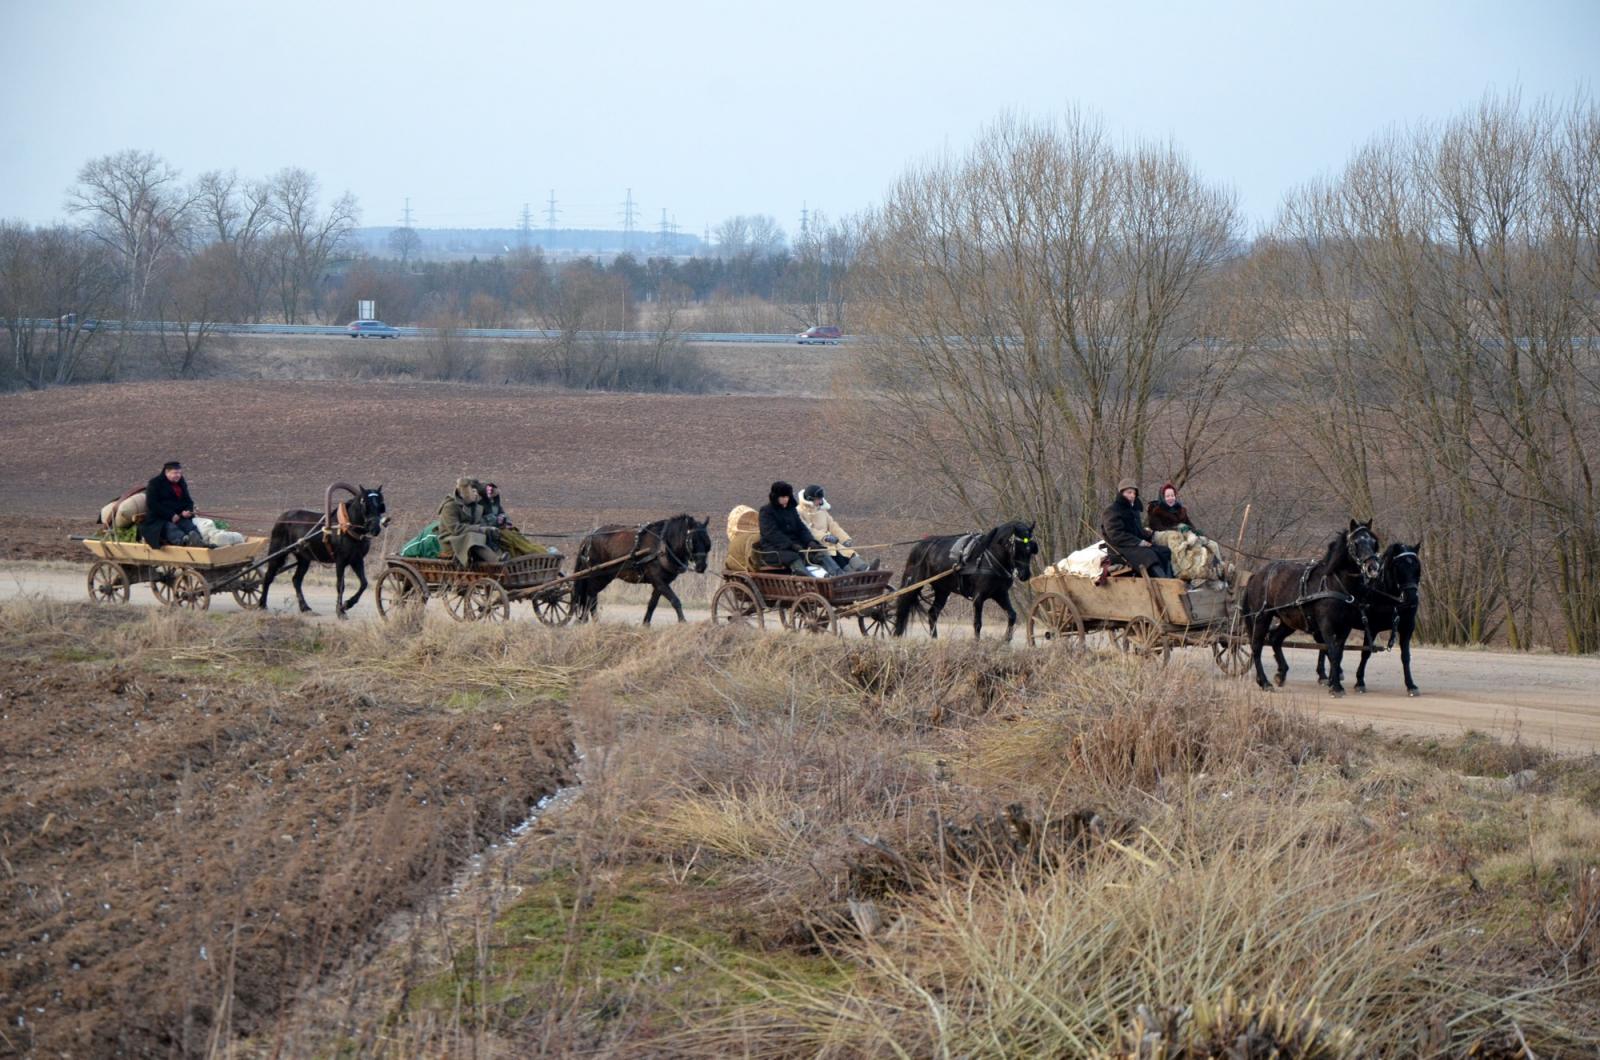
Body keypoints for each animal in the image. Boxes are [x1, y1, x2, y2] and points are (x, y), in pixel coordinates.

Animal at [260, 486, 392, 618]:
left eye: (380, 504)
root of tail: (282, 517)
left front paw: (347, 604)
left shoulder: (357, 560)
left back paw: (305, 608)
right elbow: (340, 585)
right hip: (278, 552)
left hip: (304, 558)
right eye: (365, 503)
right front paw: (340, 611)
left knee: (296, 580)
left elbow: (364, 583)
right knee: (269, 576)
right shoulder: (340, 560)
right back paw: (262, 604)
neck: (347, 528)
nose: (375, 528)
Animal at [569, 512, 707, 624]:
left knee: (590, 596)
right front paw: (683, 622)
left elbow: (652, 604)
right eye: (692, 541)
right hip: (598, 575)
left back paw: (589, 621)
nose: (702, 566)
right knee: (591, 596)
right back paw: (592, 621)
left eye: (707, 542)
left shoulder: (661, 583)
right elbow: (675, 600)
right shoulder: (658, 580)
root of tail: (589, 537)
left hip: (603, 576)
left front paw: (646, 624)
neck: (661, 545)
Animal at [889, 521, 1036, 643]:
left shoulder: (1000, 594)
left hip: (943, 590)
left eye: (1031, 549)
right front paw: (976, 644)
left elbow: (1012, 615)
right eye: (1018, 547)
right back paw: (897, 635)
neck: (989, 558)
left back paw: (934, 639)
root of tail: (922, 544)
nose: (1025, 575)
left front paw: (1006, 639)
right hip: (915, 584)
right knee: (904, 607)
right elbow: (977, 623)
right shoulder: (978, 597)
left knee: (932, 613)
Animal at [1241, 521, 1382, 698]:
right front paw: (1336, 687)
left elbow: (1339, 653)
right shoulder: (1326, 625)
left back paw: (1281, 673)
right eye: (1355, 543)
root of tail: (1256, 575)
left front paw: (1334, 681)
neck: (1335, 583)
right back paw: (1264, 682)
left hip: (1289, 621)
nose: (1373, 568)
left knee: (1275, 639)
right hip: (1262, 617)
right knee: (1257, 646)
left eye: (1373, 542)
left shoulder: (1345, 627)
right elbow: (1332, 651)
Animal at [1312, 544, 1427, 701]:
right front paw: (1360, 682)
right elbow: (1365, 653)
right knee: (1326, 645)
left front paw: (1411, 685)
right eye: (1398, 566)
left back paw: (1326, 675)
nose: (1412, 599)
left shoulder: (1407, 628)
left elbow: (1405, 657)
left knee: (1324, 644)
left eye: (1417, 566)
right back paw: (1331, 675)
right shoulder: (1371, 627)